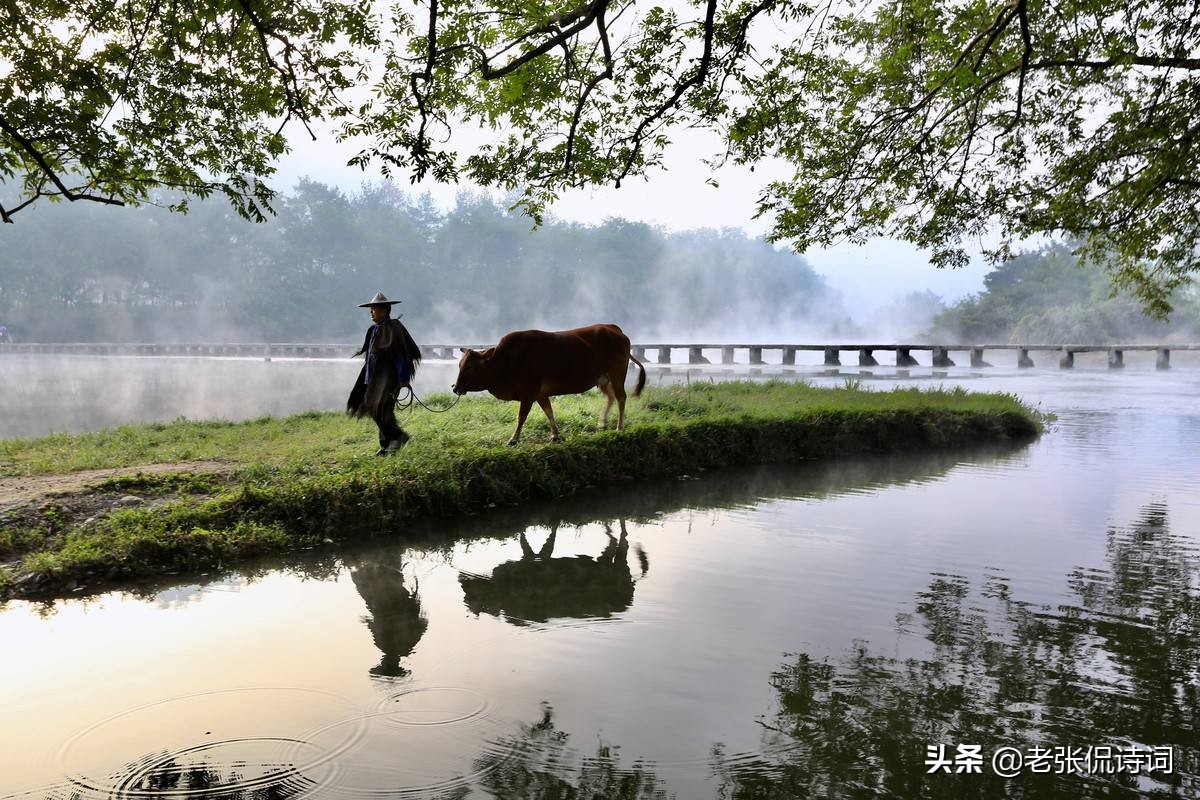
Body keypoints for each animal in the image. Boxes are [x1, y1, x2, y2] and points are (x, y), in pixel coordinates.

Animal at [453, 326, 648, 450]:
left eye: (469, 366)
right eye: (460, 365)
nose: (455, 388)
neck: (505, 362)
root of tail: (615, 329)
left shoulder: (529, 393)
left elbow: (521, 417)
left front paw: (514, 439)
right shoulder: (540, 394)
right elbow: (549, 412)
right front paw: (555, 435)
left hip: (617, 375)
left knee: (621, 398)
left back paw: (619, 427)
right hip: (603, 380)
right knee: (611, 398)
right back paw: (603, 423)